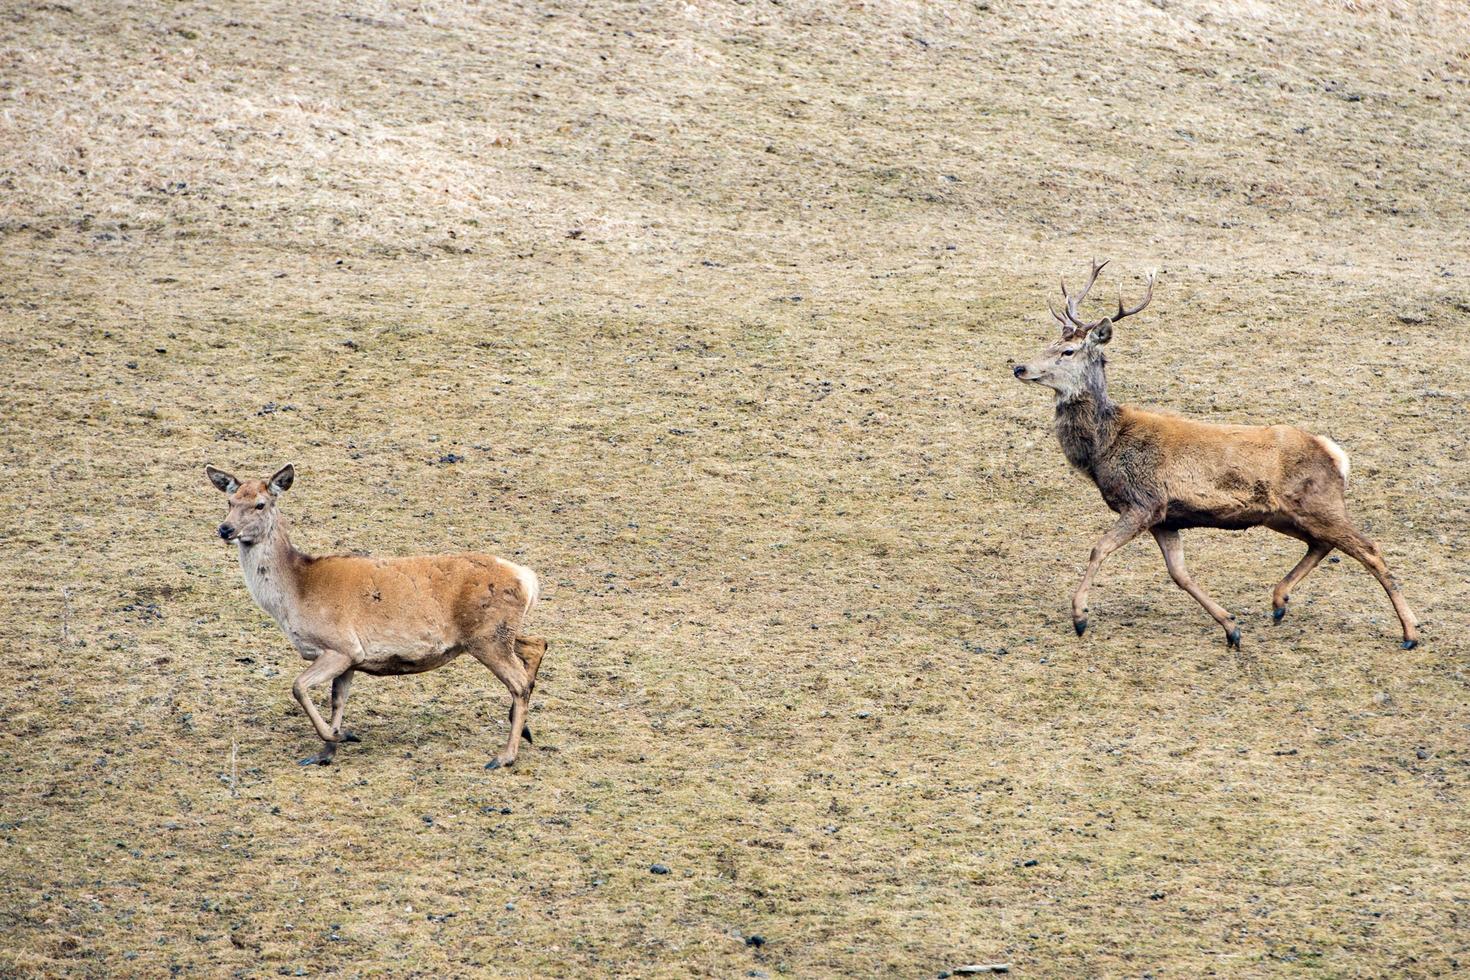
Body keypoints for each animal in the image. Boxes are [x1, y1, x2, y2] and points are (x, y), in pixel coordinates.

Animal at [208, 464, 552, 769]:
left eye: (260, 504)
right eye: (230, 501)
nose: (225, 529)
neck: (296, 593)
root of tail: (527, 578)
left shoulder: (340, 646)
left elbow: (298, 687)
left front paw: (342, 736)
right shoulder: (351, 658)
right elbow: (337, 700)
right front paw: (326, 750)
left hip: (488, 637)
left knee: (519, 683)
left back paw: (505, 756)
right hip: (496, 633)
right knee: (537, 644)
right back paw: (523, 729)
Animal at [1017, 260, 1417, 652]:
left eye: (1068, 351)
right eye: (1049, 342)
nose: (1019, 367)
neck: (1106, 446)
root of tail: (1335, 454)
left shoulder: (1143, 501)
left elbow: (1098, 549)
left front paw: (1080, 617)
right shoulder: (1166, 517)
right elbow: (1179, 574)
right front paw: (1231, 627)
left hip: (1318, 501)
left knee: (1369, 548)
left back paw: (1410, 632)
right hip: (1282, 514)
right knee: (1322, 543)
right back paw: (1278, 602)